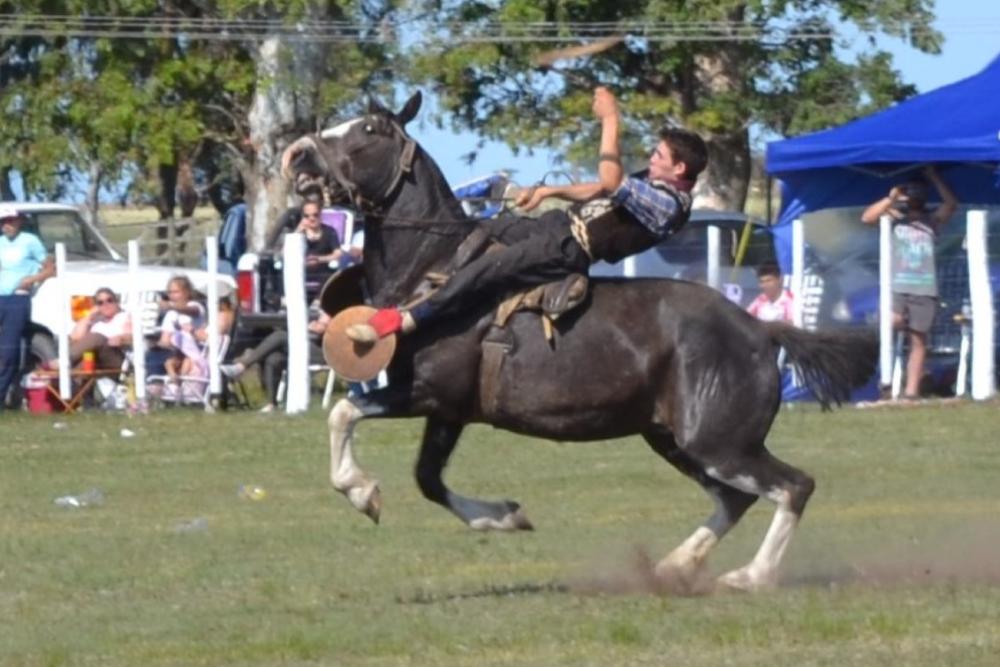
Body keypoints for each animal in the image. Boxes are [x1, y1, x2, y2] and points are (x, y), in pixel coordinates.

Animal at [282, 91, 876, 592]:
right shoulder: (450, 411)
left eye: (369, 128)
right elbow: (427, 477)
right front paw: (505, 515)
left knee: (793, 486)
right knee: (735, 500)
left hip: (719, 441)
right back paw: (673, 567)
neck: (434, 265)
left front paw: (362, 491)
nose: (297, 155)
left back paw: (750, 577)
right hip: (675, 439)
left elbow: (343, 415)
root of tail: (760, 330)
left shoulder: (428, 393)